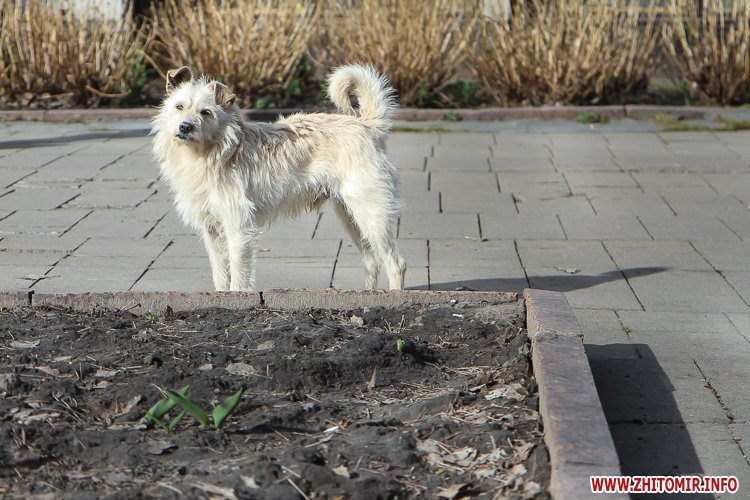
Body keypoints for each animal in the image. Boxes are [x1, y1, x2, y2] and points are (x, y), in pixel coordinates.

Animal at [152, 65, 406, 291]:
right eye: (179, 106)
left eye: (206, 112)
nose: (185, 127)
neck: (212, 153)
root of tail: (365, 125)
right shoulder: (211, 230)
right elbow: (221, 276)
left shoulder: (239, 229)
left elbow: (238, 280)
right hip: (351, 216)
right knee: (372, 260)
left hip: (371, 213)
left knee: (396, 262)